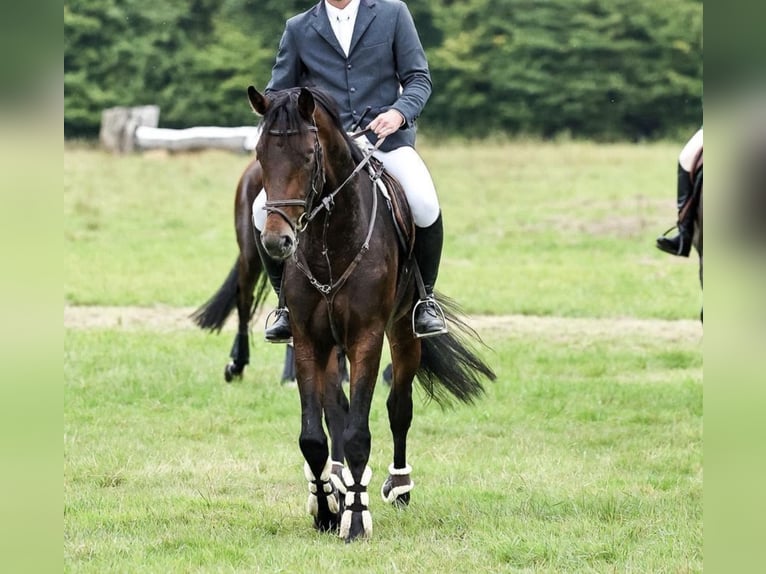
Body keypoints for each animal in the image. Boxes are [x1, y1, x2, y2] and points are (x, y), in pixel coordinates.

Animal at [246, 84, 495, 541]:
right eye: (260, 154)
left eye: (308, 156)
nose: (277, 242)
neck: (329, 238)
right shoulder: (308, 339)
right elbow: (315, 436)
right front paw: (327, 508)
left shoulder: (367, 336)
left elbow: (360, 432)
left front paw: (357, 519)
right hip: (330, 346)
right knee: (336, 411)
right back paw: (337, 483)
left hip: (403, 333)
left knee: (399, 406)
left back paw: (398, 486)